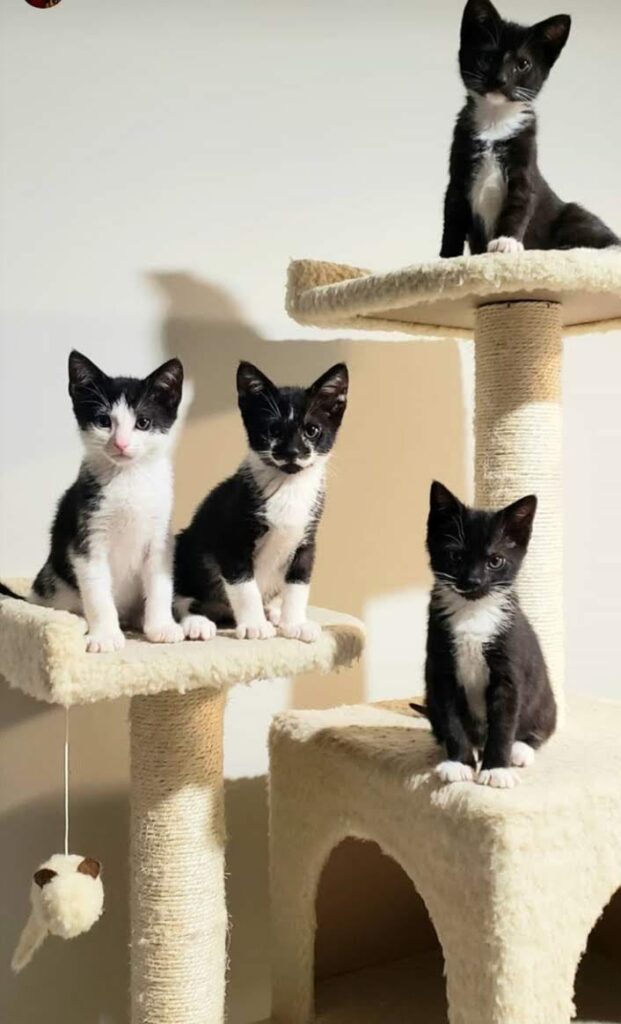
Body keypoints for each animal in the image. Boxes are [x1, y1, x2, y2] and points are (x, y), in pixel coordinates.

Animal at [0, 352, 184, 651]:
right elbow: (97, 592)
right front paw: (106, 636)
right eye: (103, 421)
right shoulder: (86, 538)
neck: (128, 479)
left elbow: (160, 584)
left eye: (143, 422)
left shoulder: (160, 538)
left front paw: (161, 627)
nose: (121, 444)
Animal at [176, 362, 350, 638]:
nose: (292, 452)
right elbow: (244, 585)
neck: (289, 485)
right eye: (273, 430)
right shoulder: (231, 537)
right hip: (185, 546)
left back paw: (273, 612)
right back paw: (197, 622)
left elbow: (299, 583)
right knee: (181, 599)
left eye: (312, 430)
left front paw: (295, 623)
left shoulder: (307, 540)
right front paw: (254, 625)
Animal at [424, 483, 561, 786]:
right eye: (456, 556)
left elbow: (504, 723)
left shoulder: (509, 667)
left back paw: (520, 750)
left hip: (545, 700)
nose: (473, 581)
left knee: (540, 726)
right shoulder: (441, 665)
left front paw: (496, 768)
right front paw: (459, 763)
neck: (473, 611)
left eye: (495, 561)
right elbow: (451, 718)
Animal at [440, 0, 618, 256]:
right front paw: (447, 257)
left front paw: (505, 241)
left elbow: (520, 202)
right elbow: (452, 215)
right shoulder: (459, 167)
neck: (496, 121)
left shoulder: (525, 164)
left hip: (572, 214)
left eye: (523, 64)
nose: (501, 80)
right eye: (487, 58)